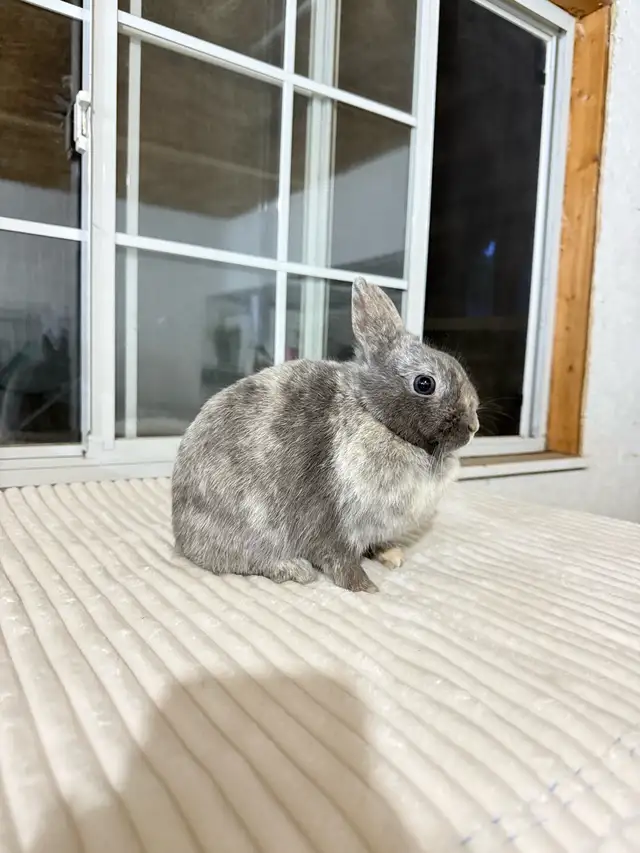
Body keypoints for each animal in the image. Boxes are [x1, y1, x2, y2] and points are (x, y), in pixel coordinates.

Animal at [172, 277, 479, 592]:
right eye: (424, 383)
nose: (473, 427)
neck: (374, 414)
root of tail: (182, 536)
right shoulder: (334, 521)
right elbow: (339, 557)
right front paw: (366, 587)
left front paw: (392, 555)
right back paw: (295, 569)